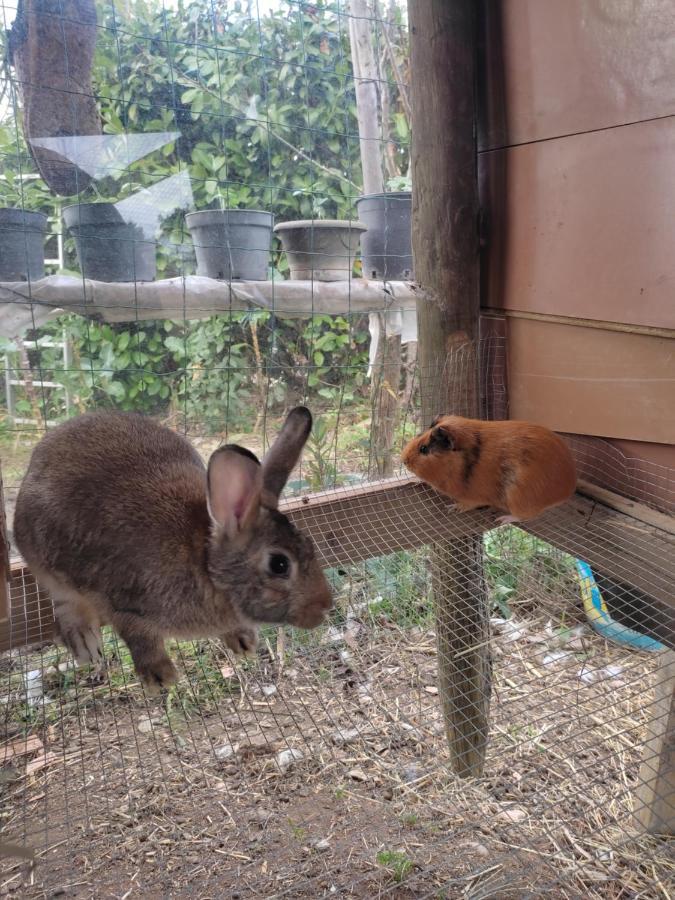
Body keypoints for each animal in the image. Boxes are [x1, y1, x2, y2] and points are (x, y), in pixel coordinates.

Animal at [13, 408, 332, 688]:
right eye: (279, 564)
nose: (325, 606)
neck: (205, 565)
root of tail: (36, 458)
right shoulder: (124, 604)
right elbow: (140, 637)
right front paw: (160, 677)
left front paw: (243, 641)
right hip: (42, 557)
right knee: (64, 602)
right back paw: (84, 644)